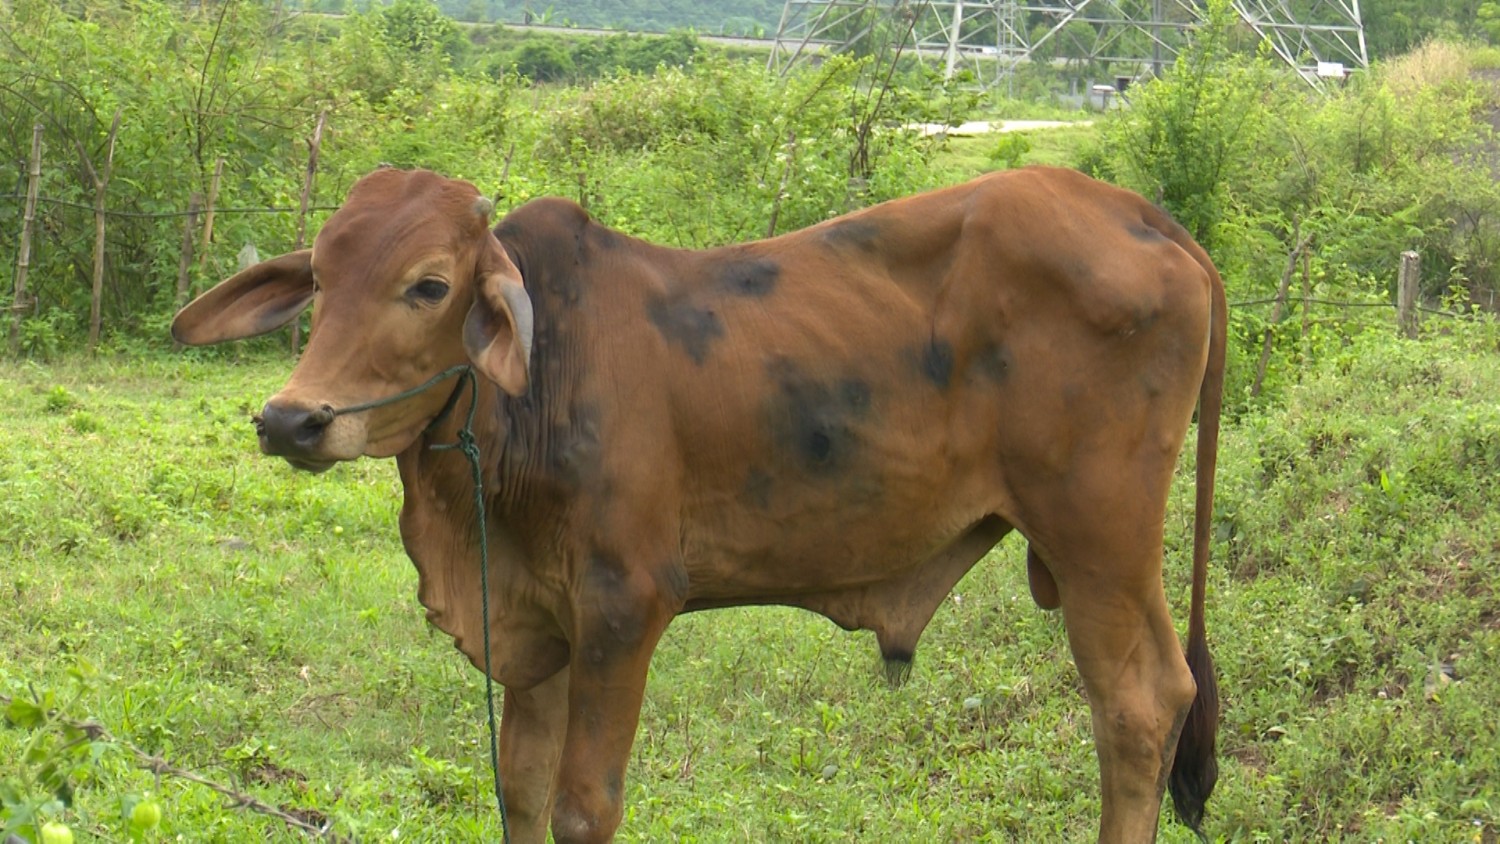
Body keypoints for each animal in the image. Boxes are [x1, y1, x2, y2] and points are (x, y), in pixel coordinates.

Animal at [175, 167, 1224, 844]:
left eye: (429, 285)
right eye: (320, 275)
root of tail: (1143, 215)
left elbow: (583, 804)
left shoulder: (623, 603)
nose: (293, 420)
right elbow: (520, 790)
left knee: (1139, 706)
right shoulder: (534, 619)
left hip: (1101, 540)